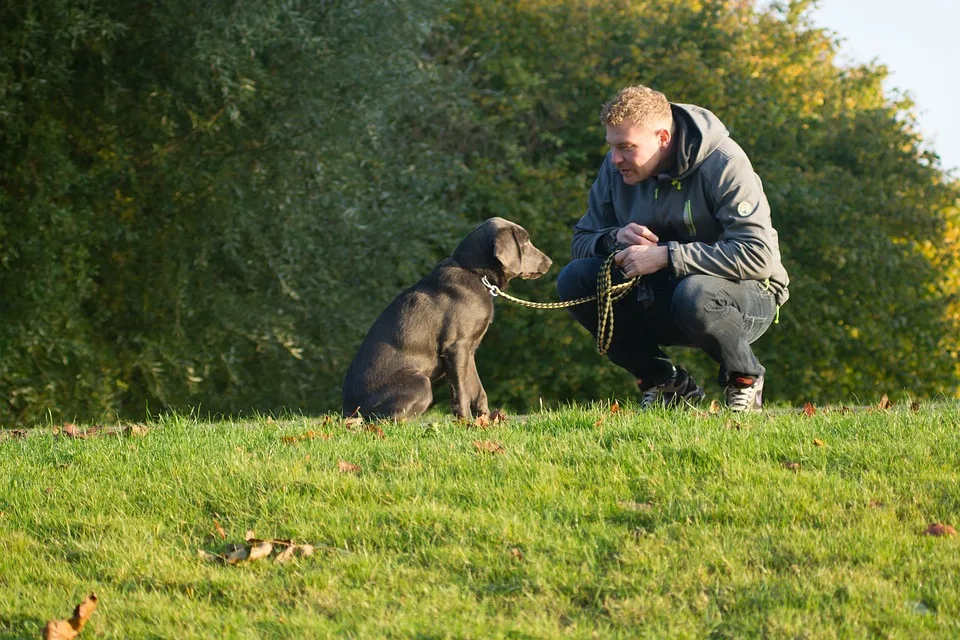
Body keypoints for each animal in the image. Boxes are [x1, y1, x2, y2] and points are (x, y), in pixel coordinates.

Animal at [344, 218, 556, 422]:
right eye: (525, 242)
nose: (550, 262)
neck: (475, 273)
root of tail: (347, 411)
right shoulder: (456, 347)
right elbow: (462, 392)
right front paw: (466, 423)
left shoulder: (469, 351)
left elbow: (478, 390)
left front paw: (486, 421)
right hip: (421, 382)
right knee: (384, 419)